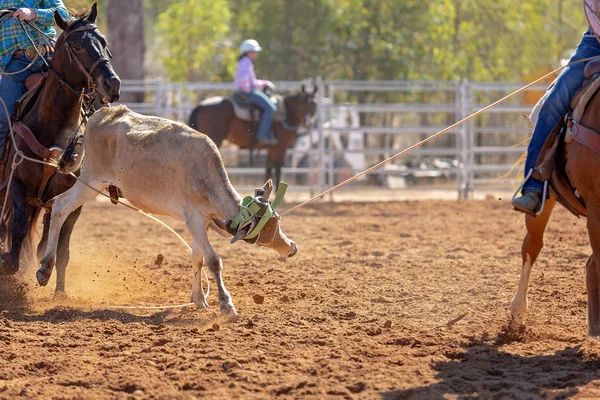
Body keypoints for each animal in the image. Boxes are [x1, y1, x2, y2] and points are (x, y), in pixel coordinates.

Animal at [0, 3, 120, 296]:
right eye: (76, 47)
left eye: (103, 42)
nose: (113, 85)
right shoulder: (16, 183)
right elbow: (18, 227)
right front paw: (9, 264)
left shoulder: (76, 197)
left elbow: (62, 245)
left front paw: (59, 290)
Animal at [35, 105, 298, 316]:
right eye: (275, 224)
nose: (292, 247)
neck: (205, 175)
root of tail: (101, 114)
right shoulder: (194, 219)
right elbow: (213, 260)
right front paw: (226, 304)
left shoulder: (201, 223)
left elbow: (197, 258)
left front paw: (199, 299)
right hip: (91, 180)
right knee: (60, 205)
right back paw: (45, 268)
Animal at [189, 85, 318, 188]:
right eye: (303, 102)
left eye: (314, 103)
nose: (308, 123)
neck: (286, 114)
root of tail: (200, 106)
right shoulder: (281, 146)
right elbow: (278, 167)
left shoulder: (272, 148)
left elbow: (269, 167)